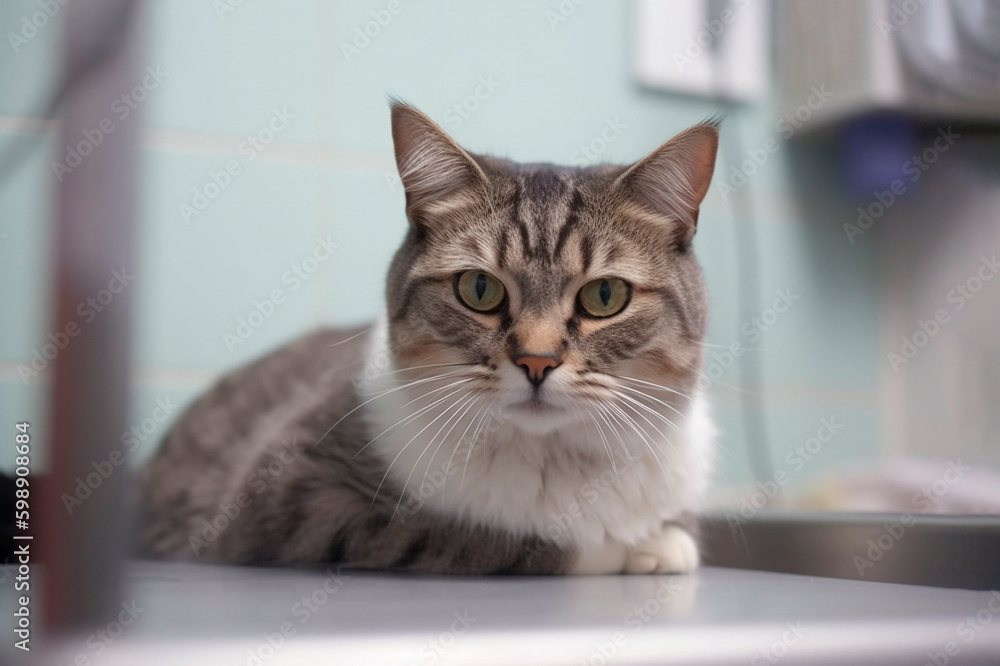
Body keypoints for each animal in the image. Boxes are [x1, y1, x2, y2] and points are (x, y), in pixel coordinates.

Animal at [141, 101, 720, 572]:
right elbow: (486, 539)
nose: (536, 361)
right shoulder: (300, 501)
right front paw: (622, 548)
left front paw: (662, 541)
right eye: (479, 288)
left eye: (604, 295)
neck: (549, 458)